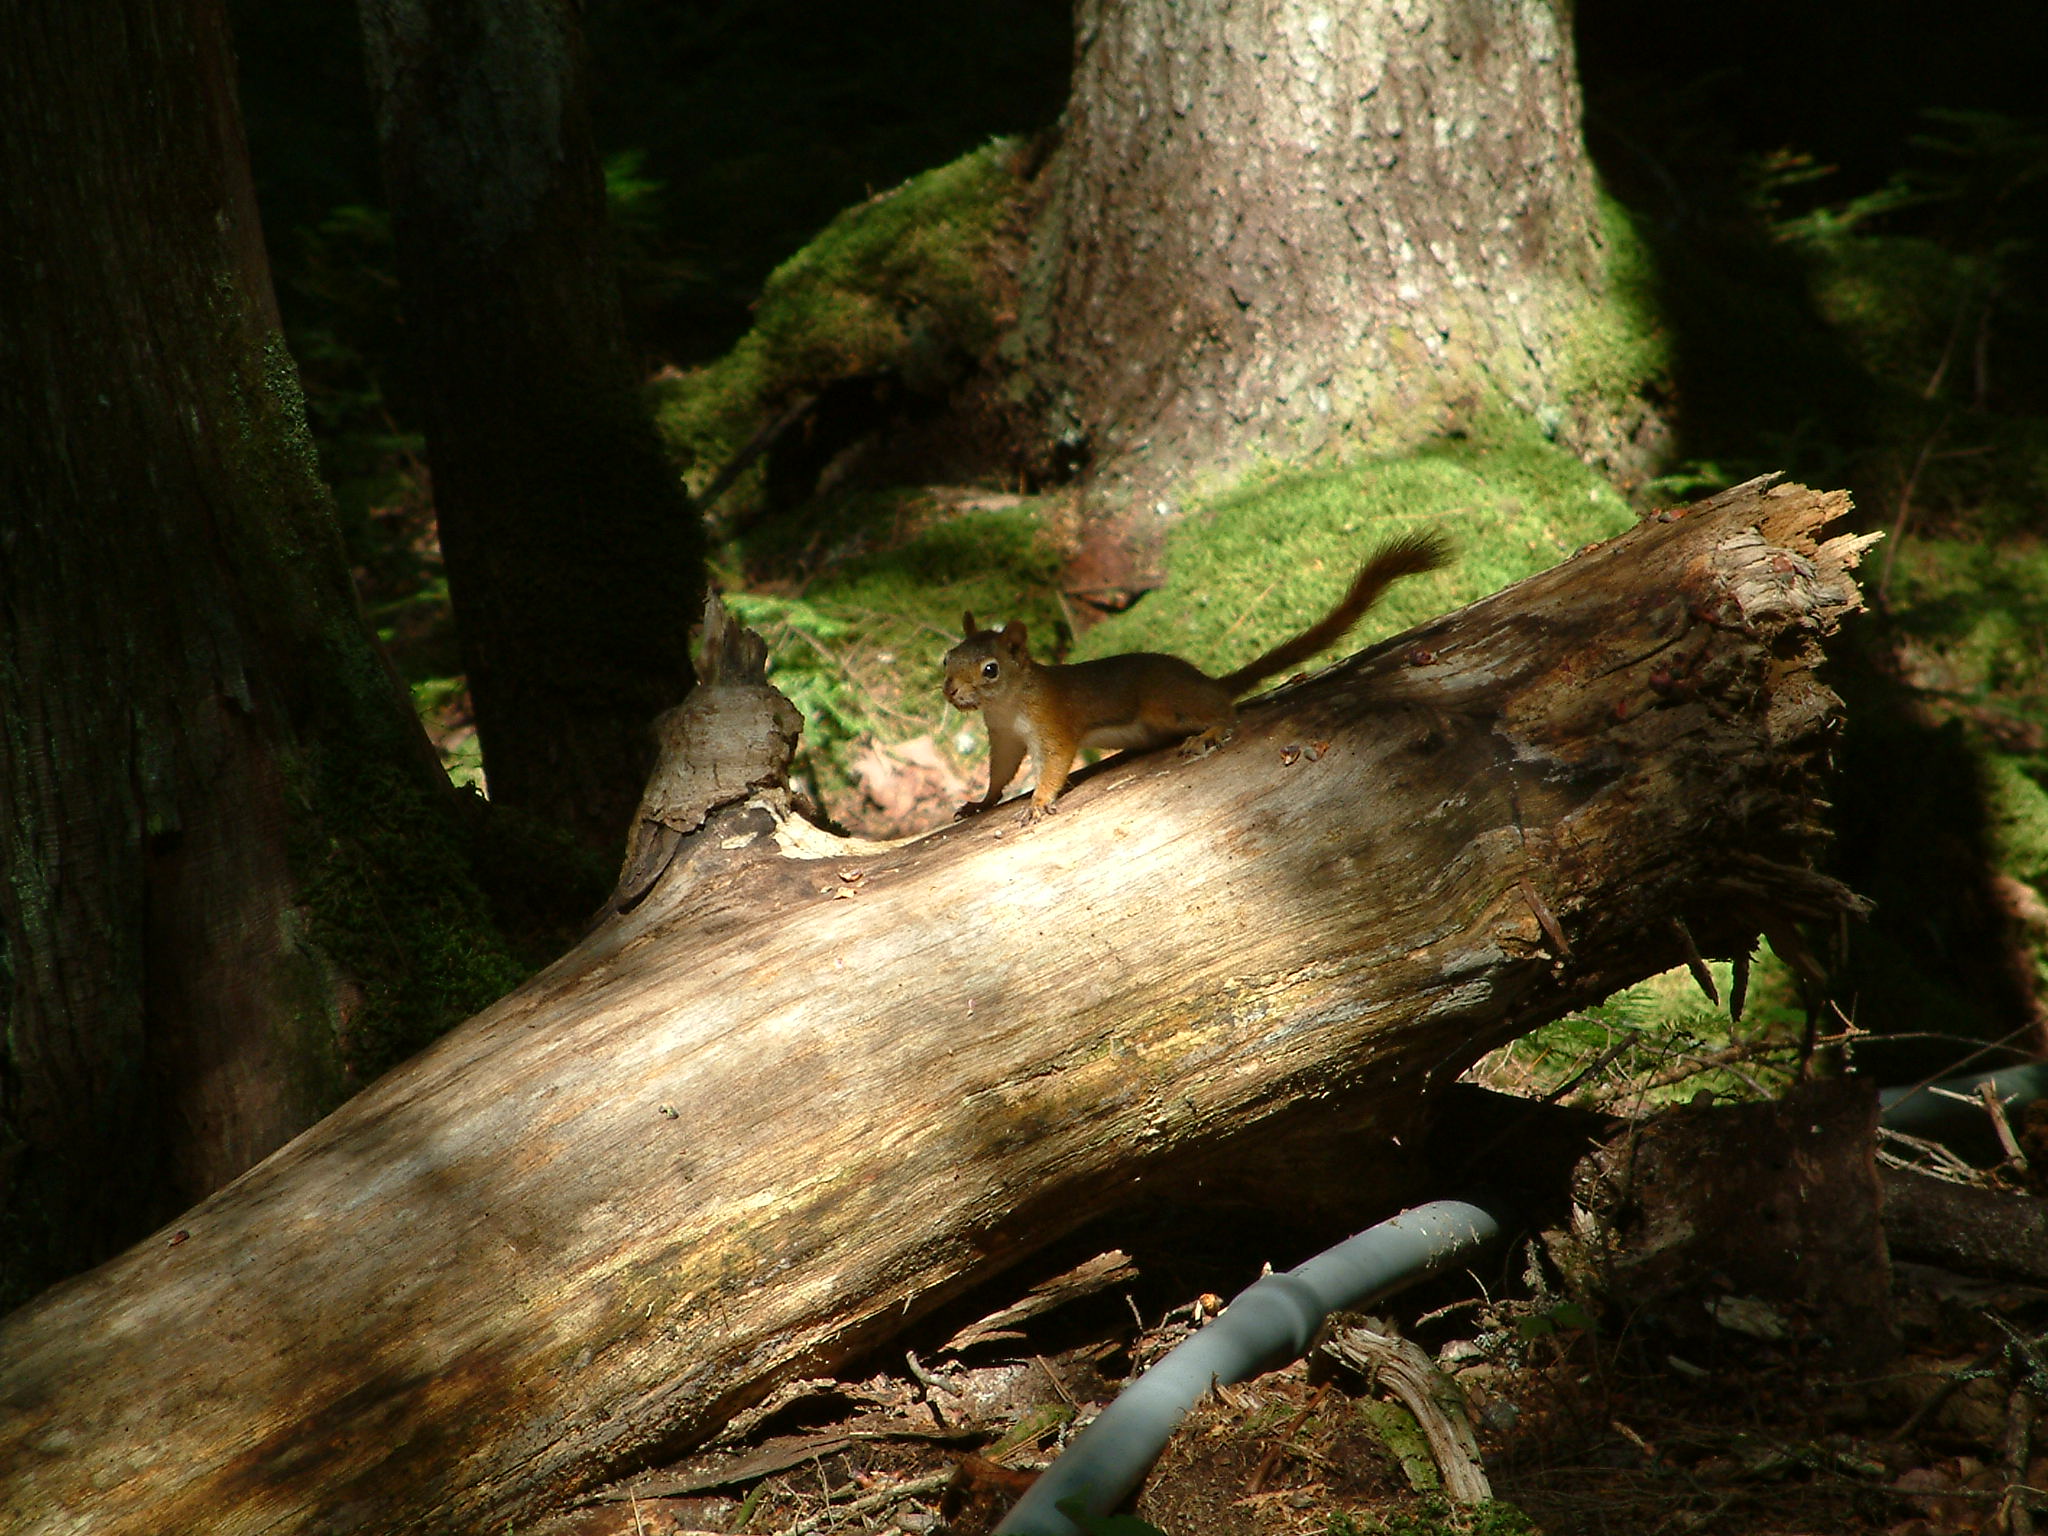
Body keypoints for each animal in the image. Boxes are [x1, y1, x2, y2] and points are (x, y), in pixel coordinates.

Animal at [942, 532, 1450, 823]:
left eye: (990, 670)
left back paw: (1210, 731)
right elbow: (1000, 772)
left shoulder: (1052, 725)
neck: (1007, 704)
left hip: (1166, 705)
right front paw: (981, 803)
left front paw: (1038, 803)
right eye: (947, 659)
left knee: (1225, 710)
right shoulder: (1004, 738)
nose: (951, 692)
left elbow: (1054, 763)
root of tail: (1207, 681)